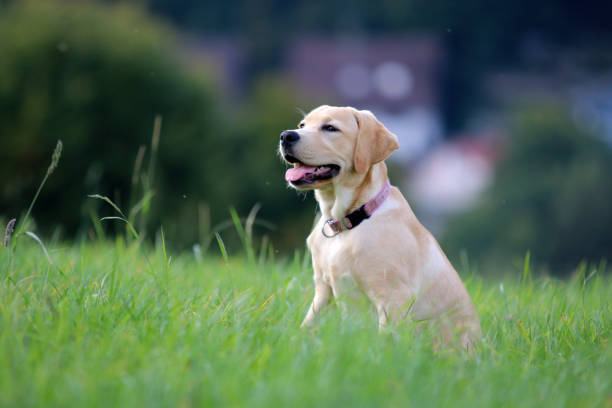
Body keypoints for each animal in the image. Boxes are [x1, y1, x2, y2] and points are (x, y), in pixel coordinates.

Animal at [278, 104, 482, 348]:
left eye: (330, 128)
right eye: (302, 125)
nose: (286, 136)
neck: (349, 221)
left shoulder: (392, 298)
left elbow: (384, 342)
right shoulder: (323, 289)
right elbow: (307, 325)